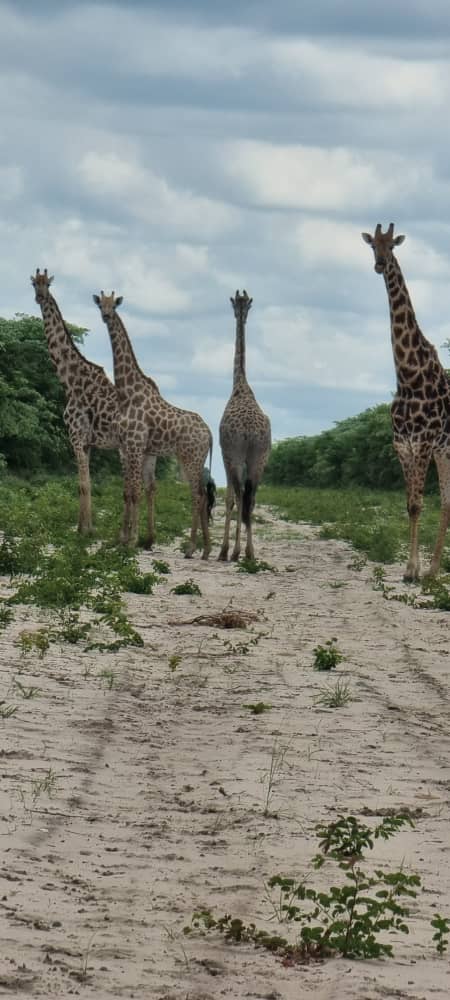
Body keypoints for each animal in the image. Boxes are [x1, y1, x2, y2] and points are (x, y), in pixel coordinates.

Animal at [31, 270, 157, 546]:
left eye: (48, 283)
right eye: (33, 283)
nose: (40, 296)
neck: (69, 380)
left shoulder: (76, 435)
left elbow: (83, 484)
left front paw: (85, 531)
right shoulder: (87, 442)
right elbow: (84, 483)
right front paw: (84, 527)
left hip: (130, 449)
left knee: (137, 485)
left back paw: (133, 536)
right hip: (146, 451)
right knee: (148, 485)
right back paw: (147, 536)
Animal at [93, 291, 213, 557]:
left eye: (113, 306)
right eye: (100, 304)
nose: (105, 316)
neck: (127, 393)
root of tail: (209, 434)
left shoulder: (135, 444)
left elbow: (136, 491)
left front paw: (131, 540)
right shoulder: (127, 447)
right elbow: (128, 491)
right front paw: (125, 538)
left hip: (189, 457)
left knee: (197, 496)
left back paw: (192, 548)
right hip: (194, 459)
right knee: (201, 495)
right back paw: (206, 549)